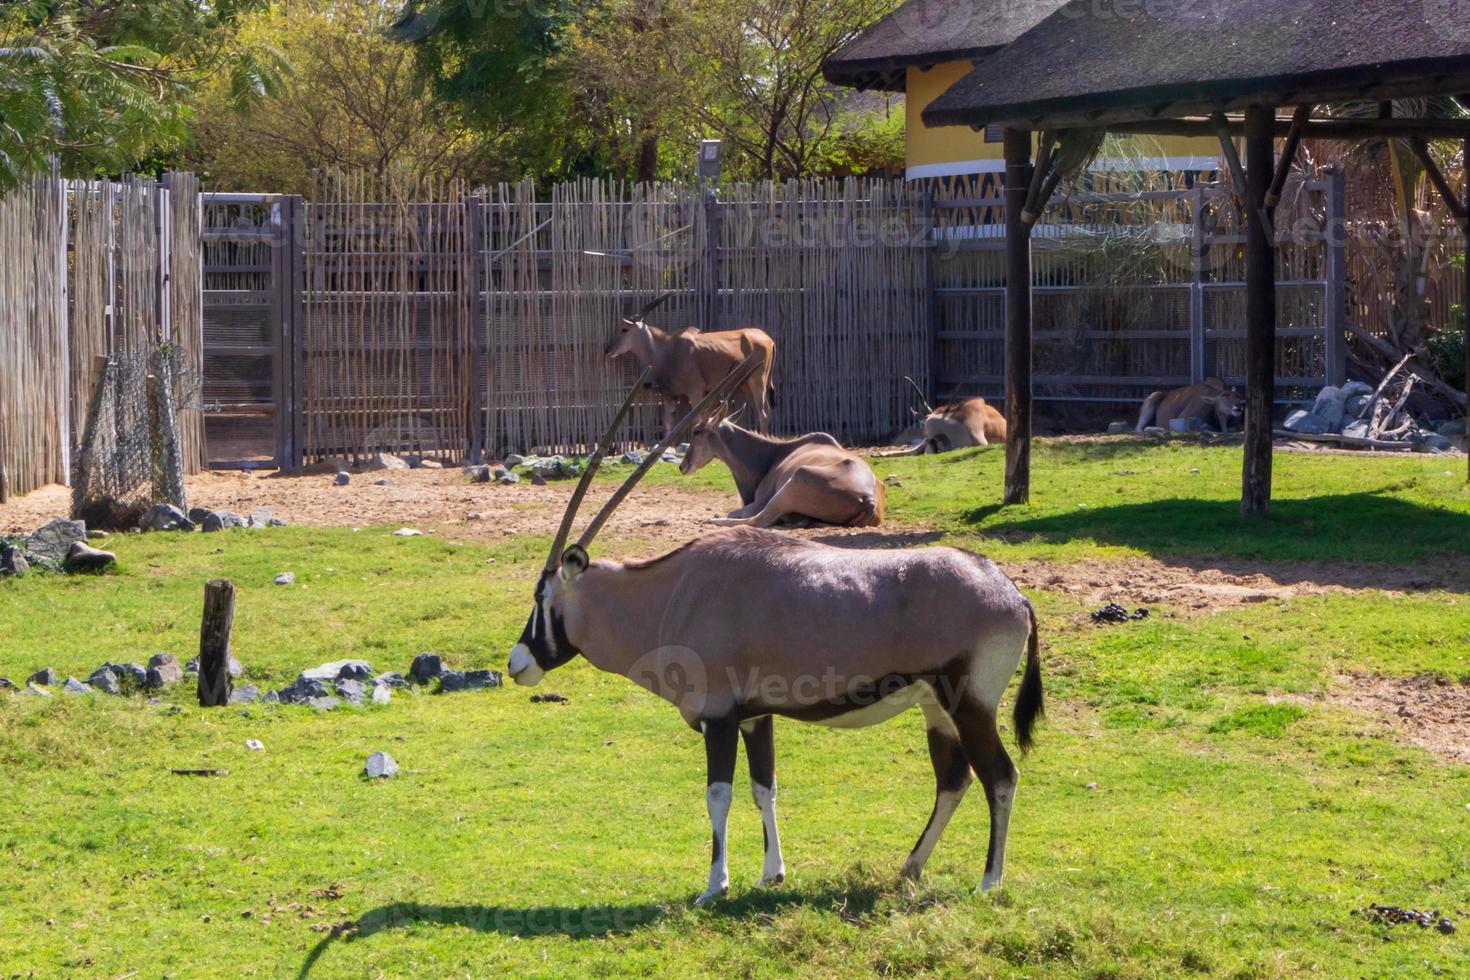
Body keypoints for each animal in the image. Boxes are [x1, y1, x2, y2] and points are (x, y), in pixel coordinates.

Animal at [602, 293, 776, 434]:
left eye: (624, 329)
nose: (608, 350)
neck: (667, 351)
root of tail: (768, 339)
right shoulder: (669, 395)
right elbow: (668, 425)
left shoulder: (696, 391)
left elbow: (697, 421)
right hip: (745, 385)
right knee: (763, 410)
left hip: (757, 380)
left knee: (764, 413)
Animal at [679, 417, 882, 528]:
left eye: (696, 431)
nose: (683, 466)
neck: (774, 453)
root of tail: (868, 500)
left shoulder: (759, 502)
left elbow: (734, 513)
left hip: (794, 481)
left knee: (758, 521)